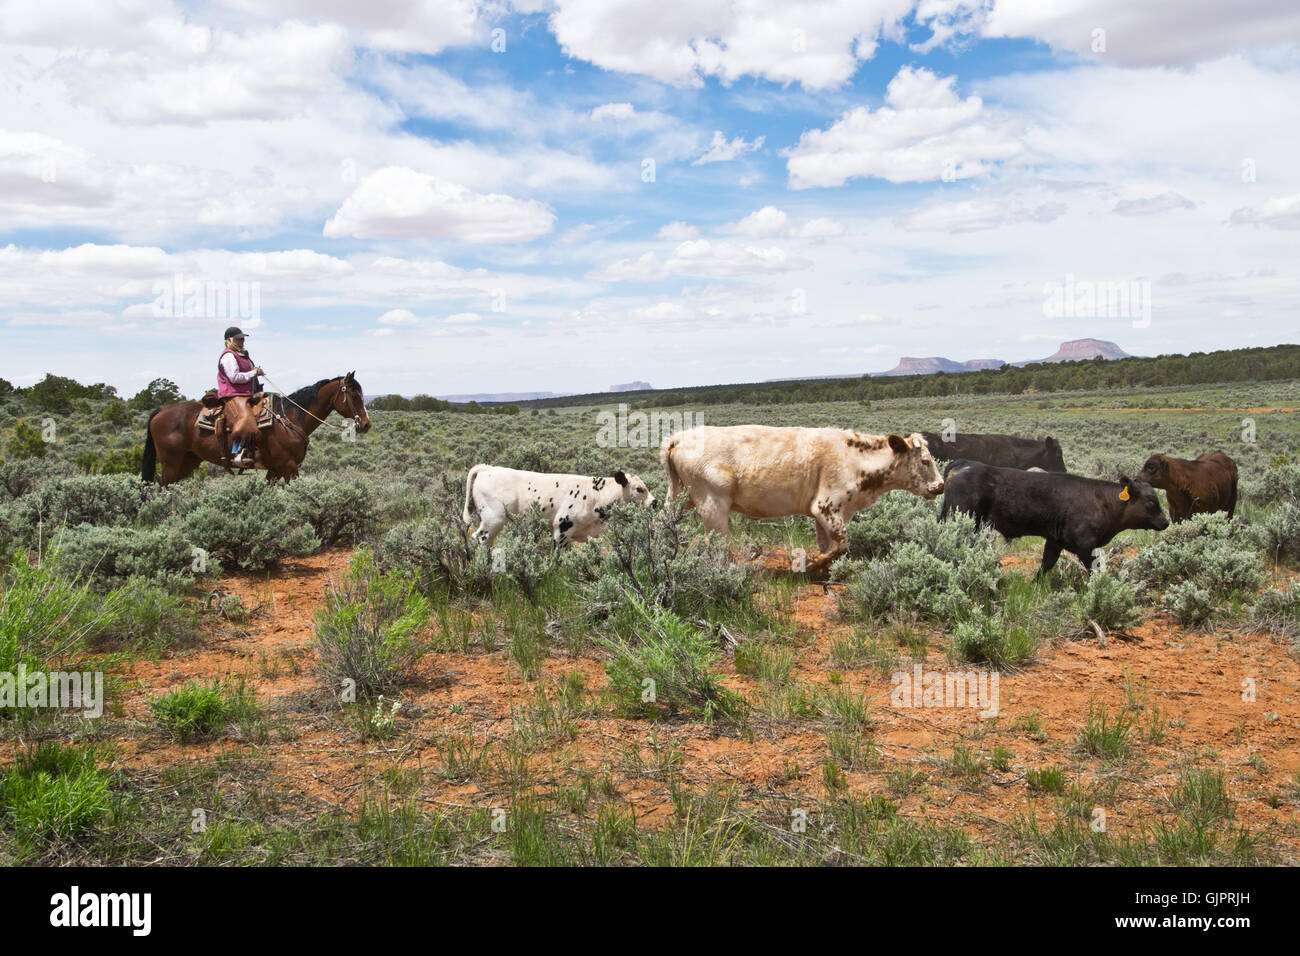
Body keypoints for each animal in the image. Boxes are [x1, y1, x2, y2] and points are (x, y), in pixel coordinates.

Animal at [142, 371, 371, 486]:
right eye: (354, 395)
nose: (366, 424)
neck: (290, 419)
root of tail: (161, 410)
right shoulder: (289, 467)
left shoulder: (275, 469)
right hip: (171, 463)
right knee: (162, 488)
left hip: (187, 461)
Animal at [462, 468, 655, 548]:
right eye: (639, 489)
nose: (655, 502)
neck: (595, 495)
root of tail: (487, 468)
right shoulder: (561, 529)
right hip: (492, 521)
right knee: (479, 540)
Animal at [660, 426, 946, 567]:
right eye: (924, 460)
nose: (941, 486)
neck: (854, 457)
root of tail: (679, 438)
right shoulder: (827, 507)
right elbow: (840, 544)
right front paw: (812, 563)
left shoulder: (824, 515)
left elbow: (830, 545)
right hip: (714, 506)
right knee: (717, 544)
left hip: (679, 498)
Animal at [941, 457, 1175, 572]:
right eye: (1151, 502)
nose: (1165, 522)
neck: (1103, 502)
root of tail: (965, 464)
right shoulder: (1085, 546)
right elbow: (1094, 572)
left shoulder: (1054, 542)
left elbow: (1046, 566)